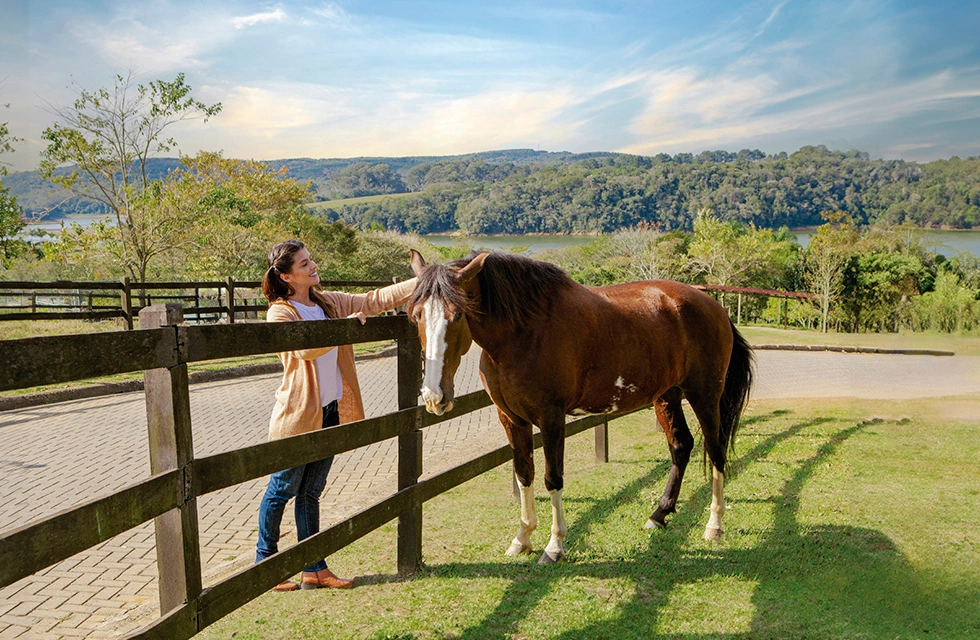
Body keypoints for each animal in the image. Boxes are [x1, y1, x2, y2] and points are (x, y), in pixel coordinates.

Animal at [407, 249, 753, 564]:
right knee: (682, 446)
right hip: (667, 396)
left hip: (705, 395)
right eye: (416, 315)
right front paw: (522, 539)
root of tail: (714, 306)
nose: (434, 396)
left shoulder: (551, 417)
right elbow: (524, 475)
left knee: (716, 450)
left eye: (459, 314)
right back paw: (658, 514)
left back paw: (714, 526)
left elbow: (552, 478)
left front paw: (554, 546)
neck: (524, 333)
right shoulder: (512, 419)